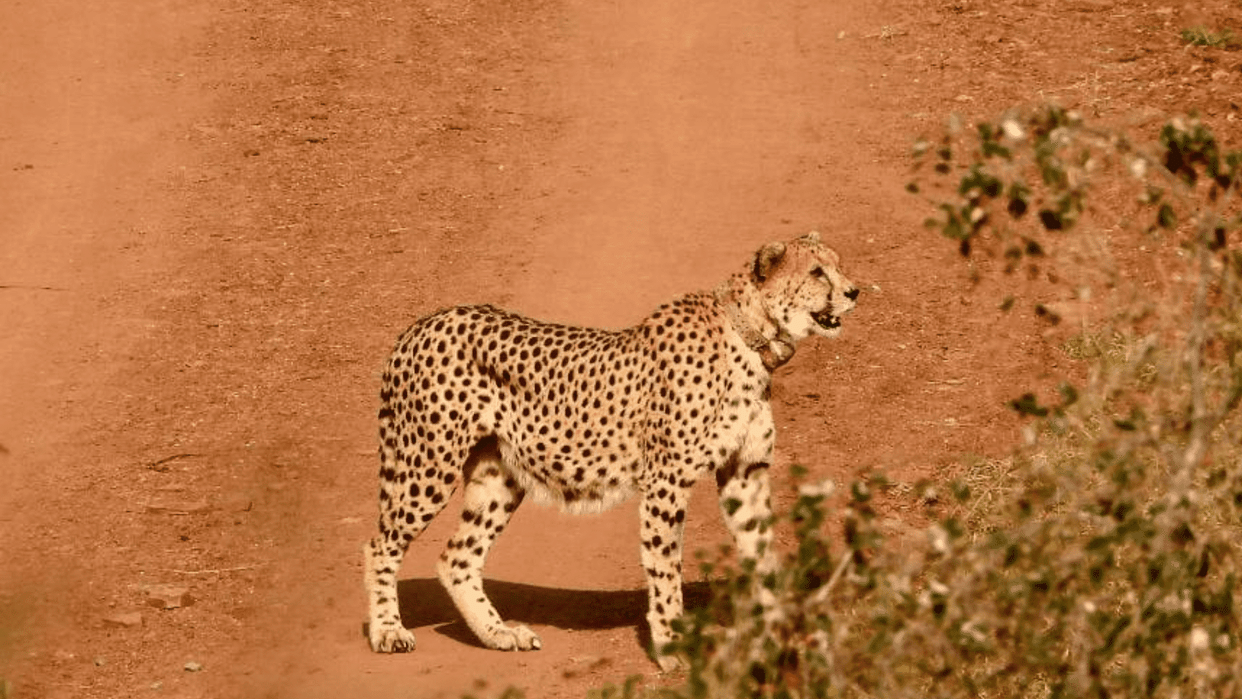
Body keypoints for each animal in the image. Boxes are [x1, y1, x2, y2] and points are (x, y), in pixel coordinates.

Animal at [363, 231, 858, 670]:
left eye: (837, 263)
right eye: (817, 272)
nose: (853, 291)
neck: (751, 337)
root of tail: (424, 322)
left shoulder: (745, 472)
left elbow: (762, 553)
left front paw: (780, 630)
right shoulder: (666, 482)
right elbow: (665, 569)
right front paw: (671, 645)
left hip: (499, 475)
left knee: (457, 558)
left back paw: (499, 634)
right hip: (428, 465)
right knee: (380, 545)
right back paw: (388, 630)